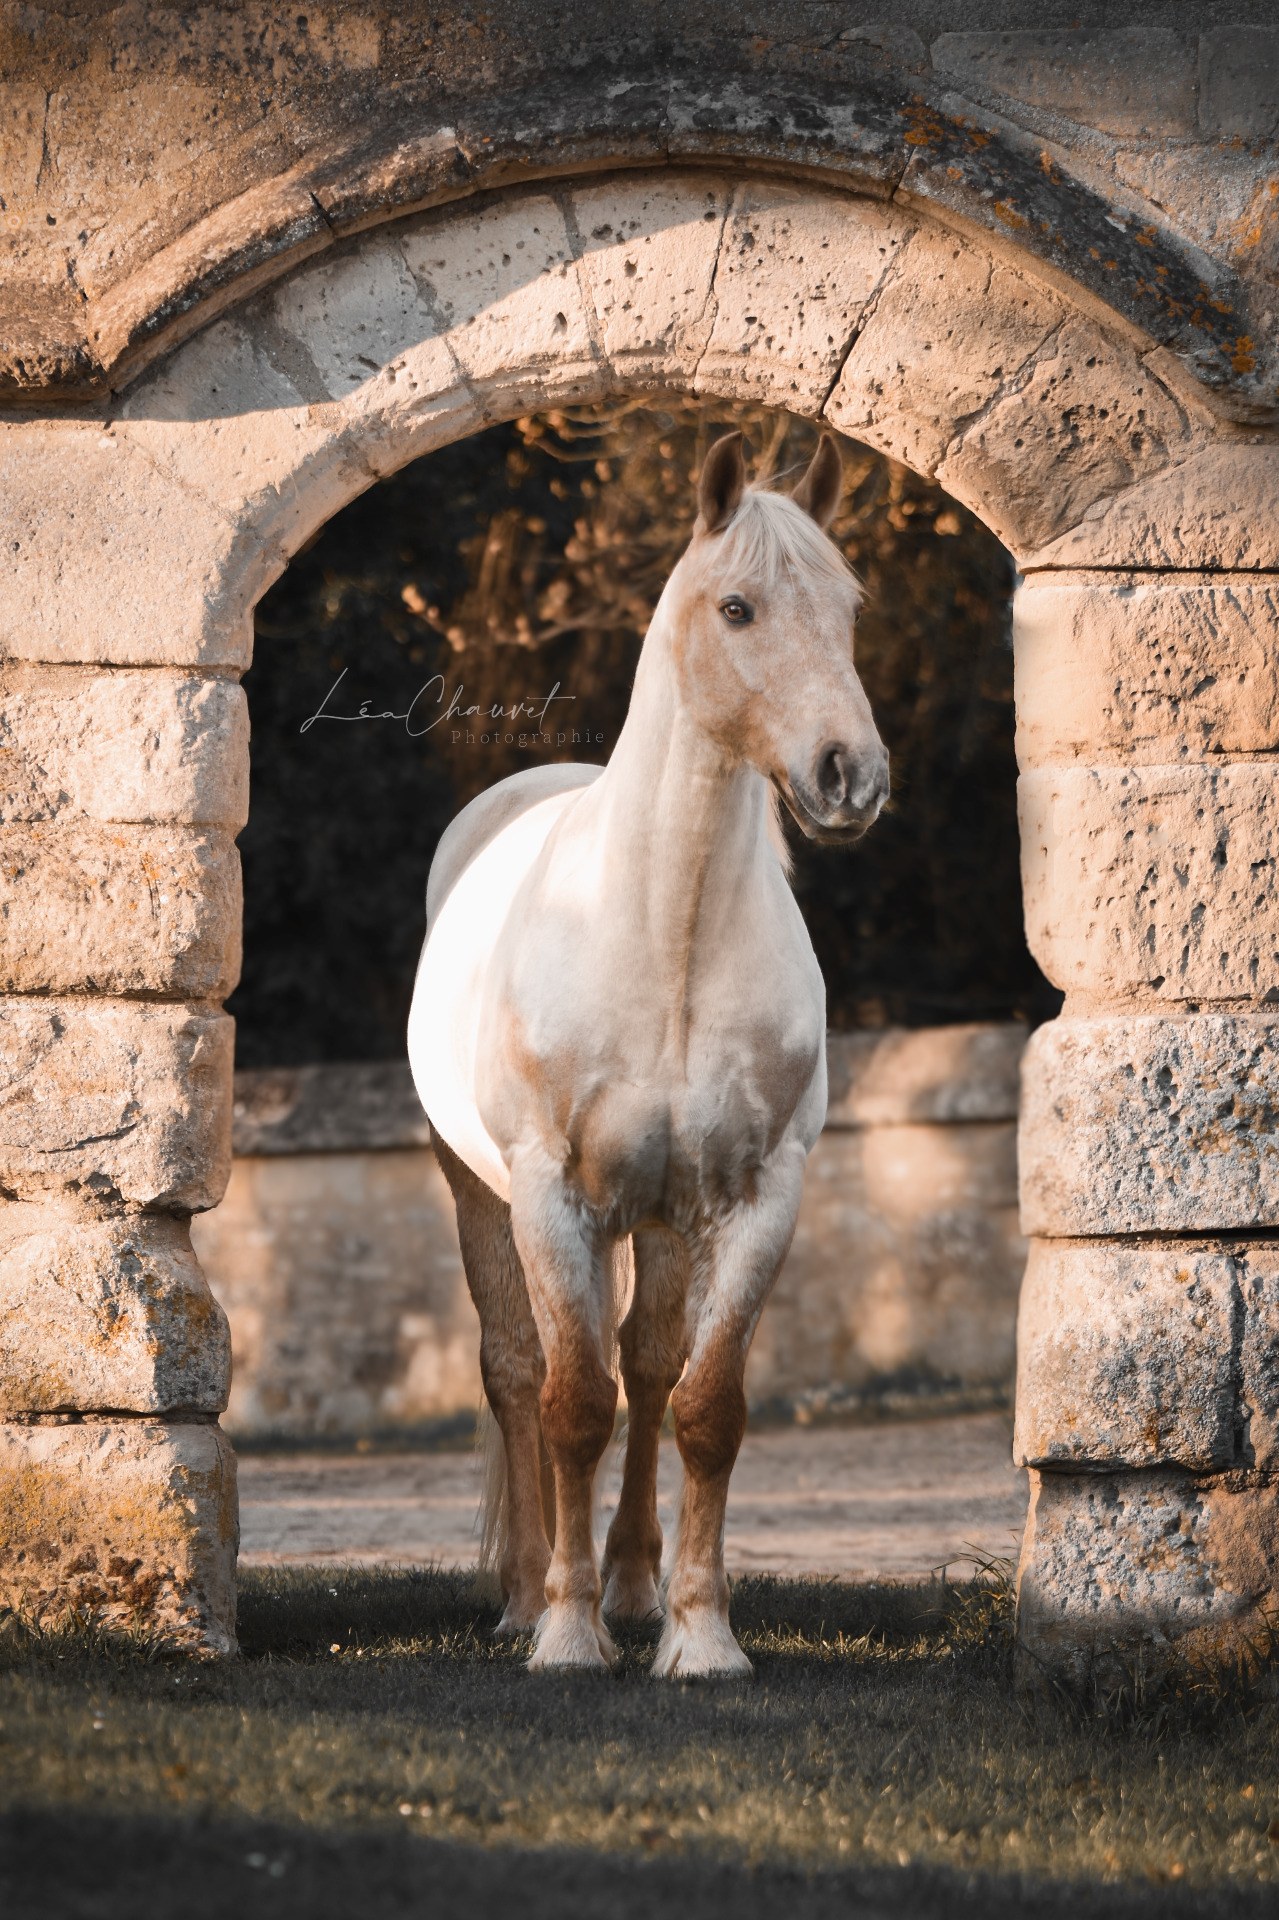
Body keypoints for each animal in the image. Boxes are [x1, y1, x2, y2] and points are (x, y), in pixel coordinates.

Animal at [408, 430, 889, 1677]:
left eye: (849, 607)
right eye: (738, 607)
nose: (849, 775)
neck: (660, 931)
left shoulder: (760, 1196)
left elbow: (702, 1407)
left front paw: (699, 1636)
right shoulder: (549, 1196)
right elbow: (569, 1403)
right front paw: (568, 1636)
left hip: (666, 1219)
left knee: (649, 1366)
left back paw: (632, 1585)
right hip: (478, 1195)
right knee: (518, 1371)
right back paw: (528, 1595)